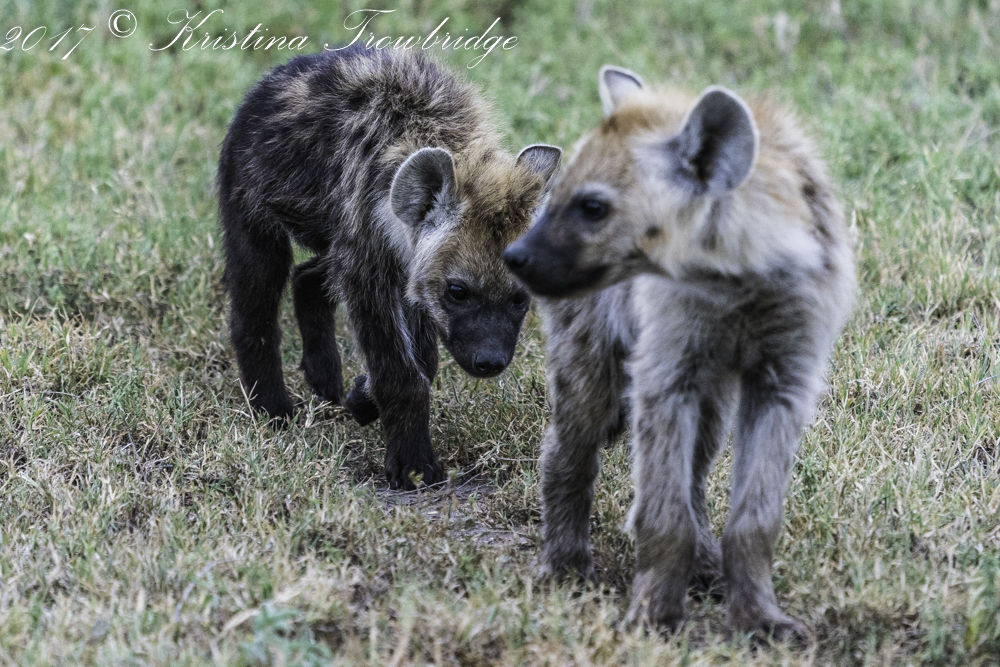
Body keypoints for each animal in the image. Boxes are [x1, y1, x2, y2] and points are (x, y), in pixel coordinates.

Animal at [218, 45, 561, 490]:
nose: (490, 361)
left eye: (520, 298)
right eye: (458, 291)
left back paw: (325, 381)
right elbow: (400, 371)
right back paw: (273, 410)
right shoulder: (369, 262)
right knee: (257, 294)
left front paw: (361, 400)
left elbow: (425, 361)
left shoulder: (406, 269)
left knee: (309, 276)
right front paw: (413, 467)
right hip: (250, 198)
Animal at [504, 66, 855, 640]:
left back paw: (708, 567)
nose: (516, 256)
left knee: (695, 472)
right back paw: (564, 567)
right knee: (571, 441)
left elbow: (756, 514)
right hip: (591, 349)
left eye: (593, 206)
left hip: (712, 393)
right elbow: (662, 510)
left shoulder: (786, 375)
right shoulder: (666, 365)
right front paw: (653, 619)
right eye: (561, 194)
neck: (739, 281)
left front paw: (761, 619)